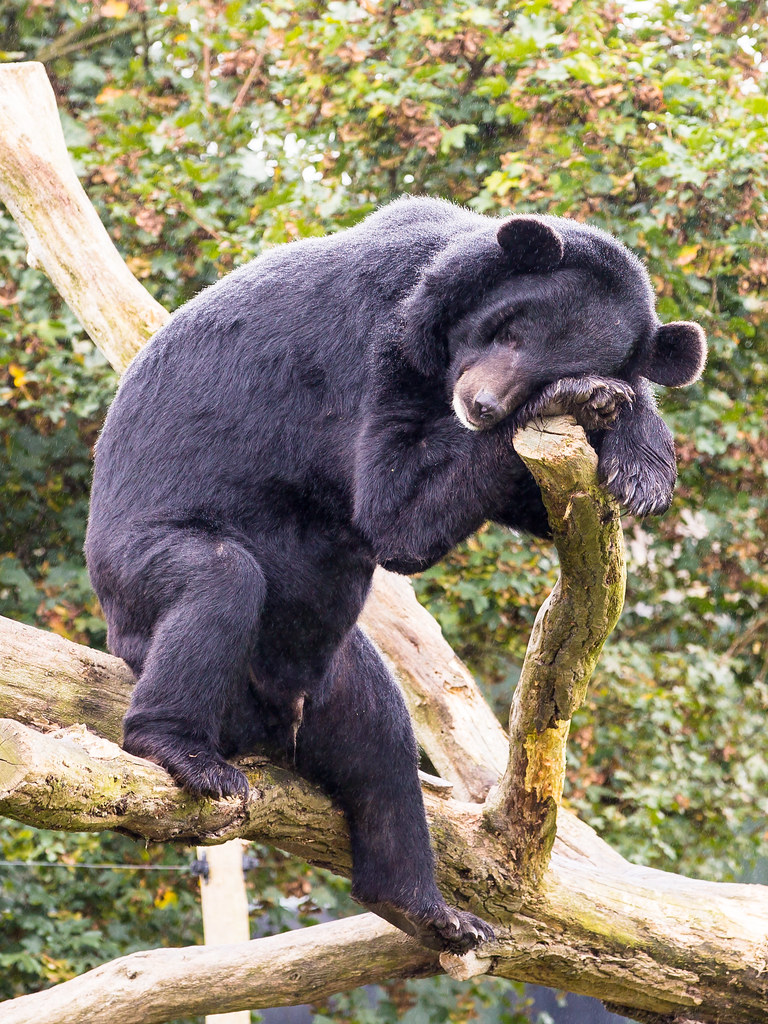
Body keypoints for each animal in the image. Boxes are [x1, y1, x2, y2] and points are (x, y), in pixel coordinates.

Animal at [85, 196, 706, 953]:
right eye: (510, 331)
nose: (483, 405)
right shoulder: (370, 354)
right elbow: (395, 511)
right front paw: (595, 402)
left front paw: (641, 464)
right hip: (139, 579)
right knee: (217, 581)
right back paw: (185, 753)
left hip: (332, 669)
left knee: (382, 740)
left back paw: (430, 909)